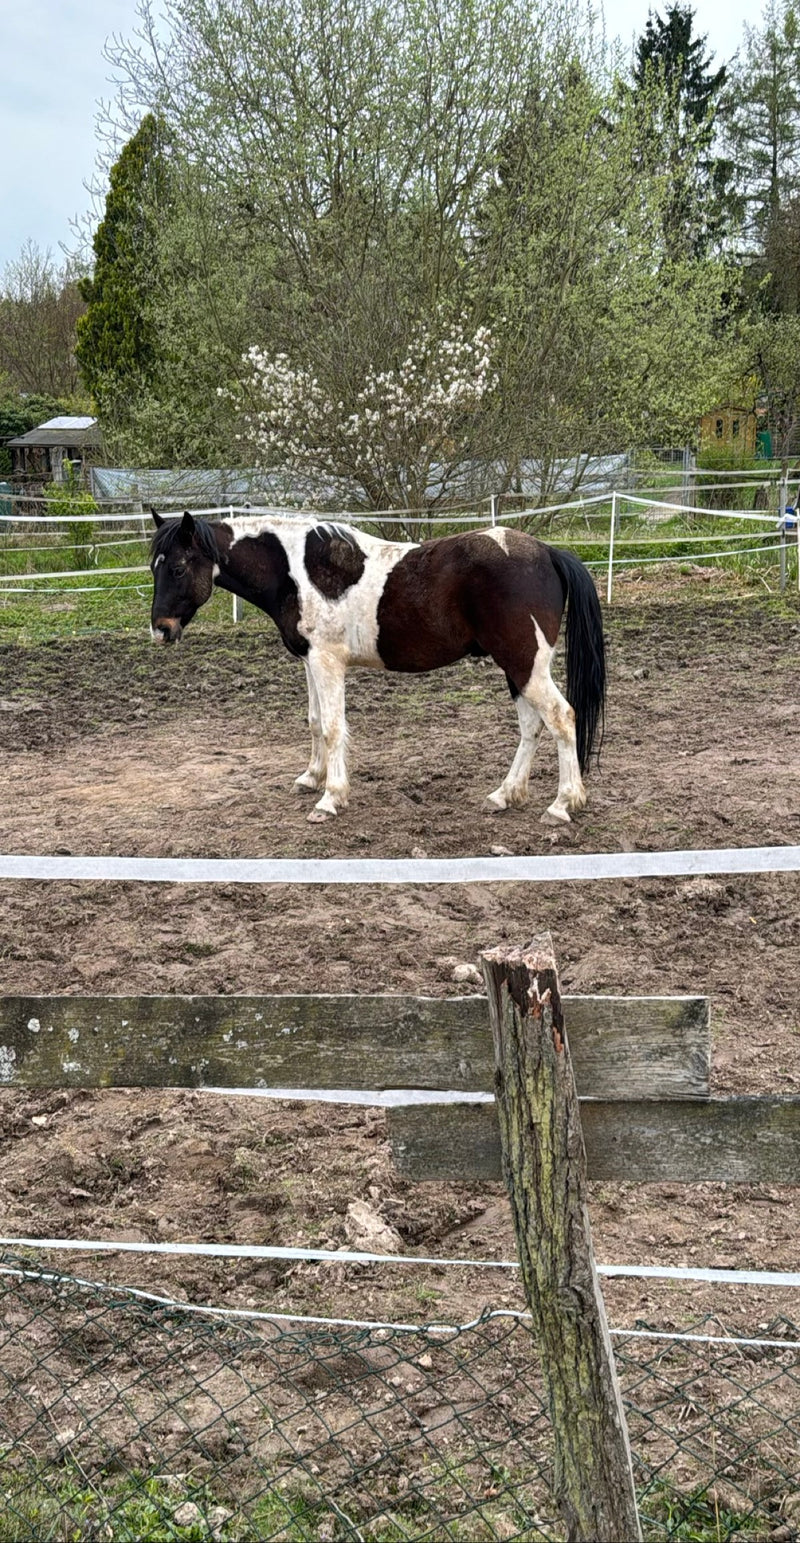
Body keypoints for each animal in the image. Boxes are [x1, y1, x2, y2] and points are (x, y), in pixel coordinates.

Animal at [148, 509, 605, 824]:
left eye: (178, 566)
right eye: (155, 567)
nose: (160, 629)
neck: (295, 570)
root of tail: (548, 553)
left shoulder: (327, 661)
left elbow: (333, 728)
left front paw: (330, 798)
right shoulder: (309, 661)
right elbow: (315, 721)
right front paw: (311, 778)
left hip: (526, 663)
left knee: (562, 718)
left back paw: (562, 805)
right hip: (517, 667)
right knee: (532, 726)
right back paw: (504, 795)